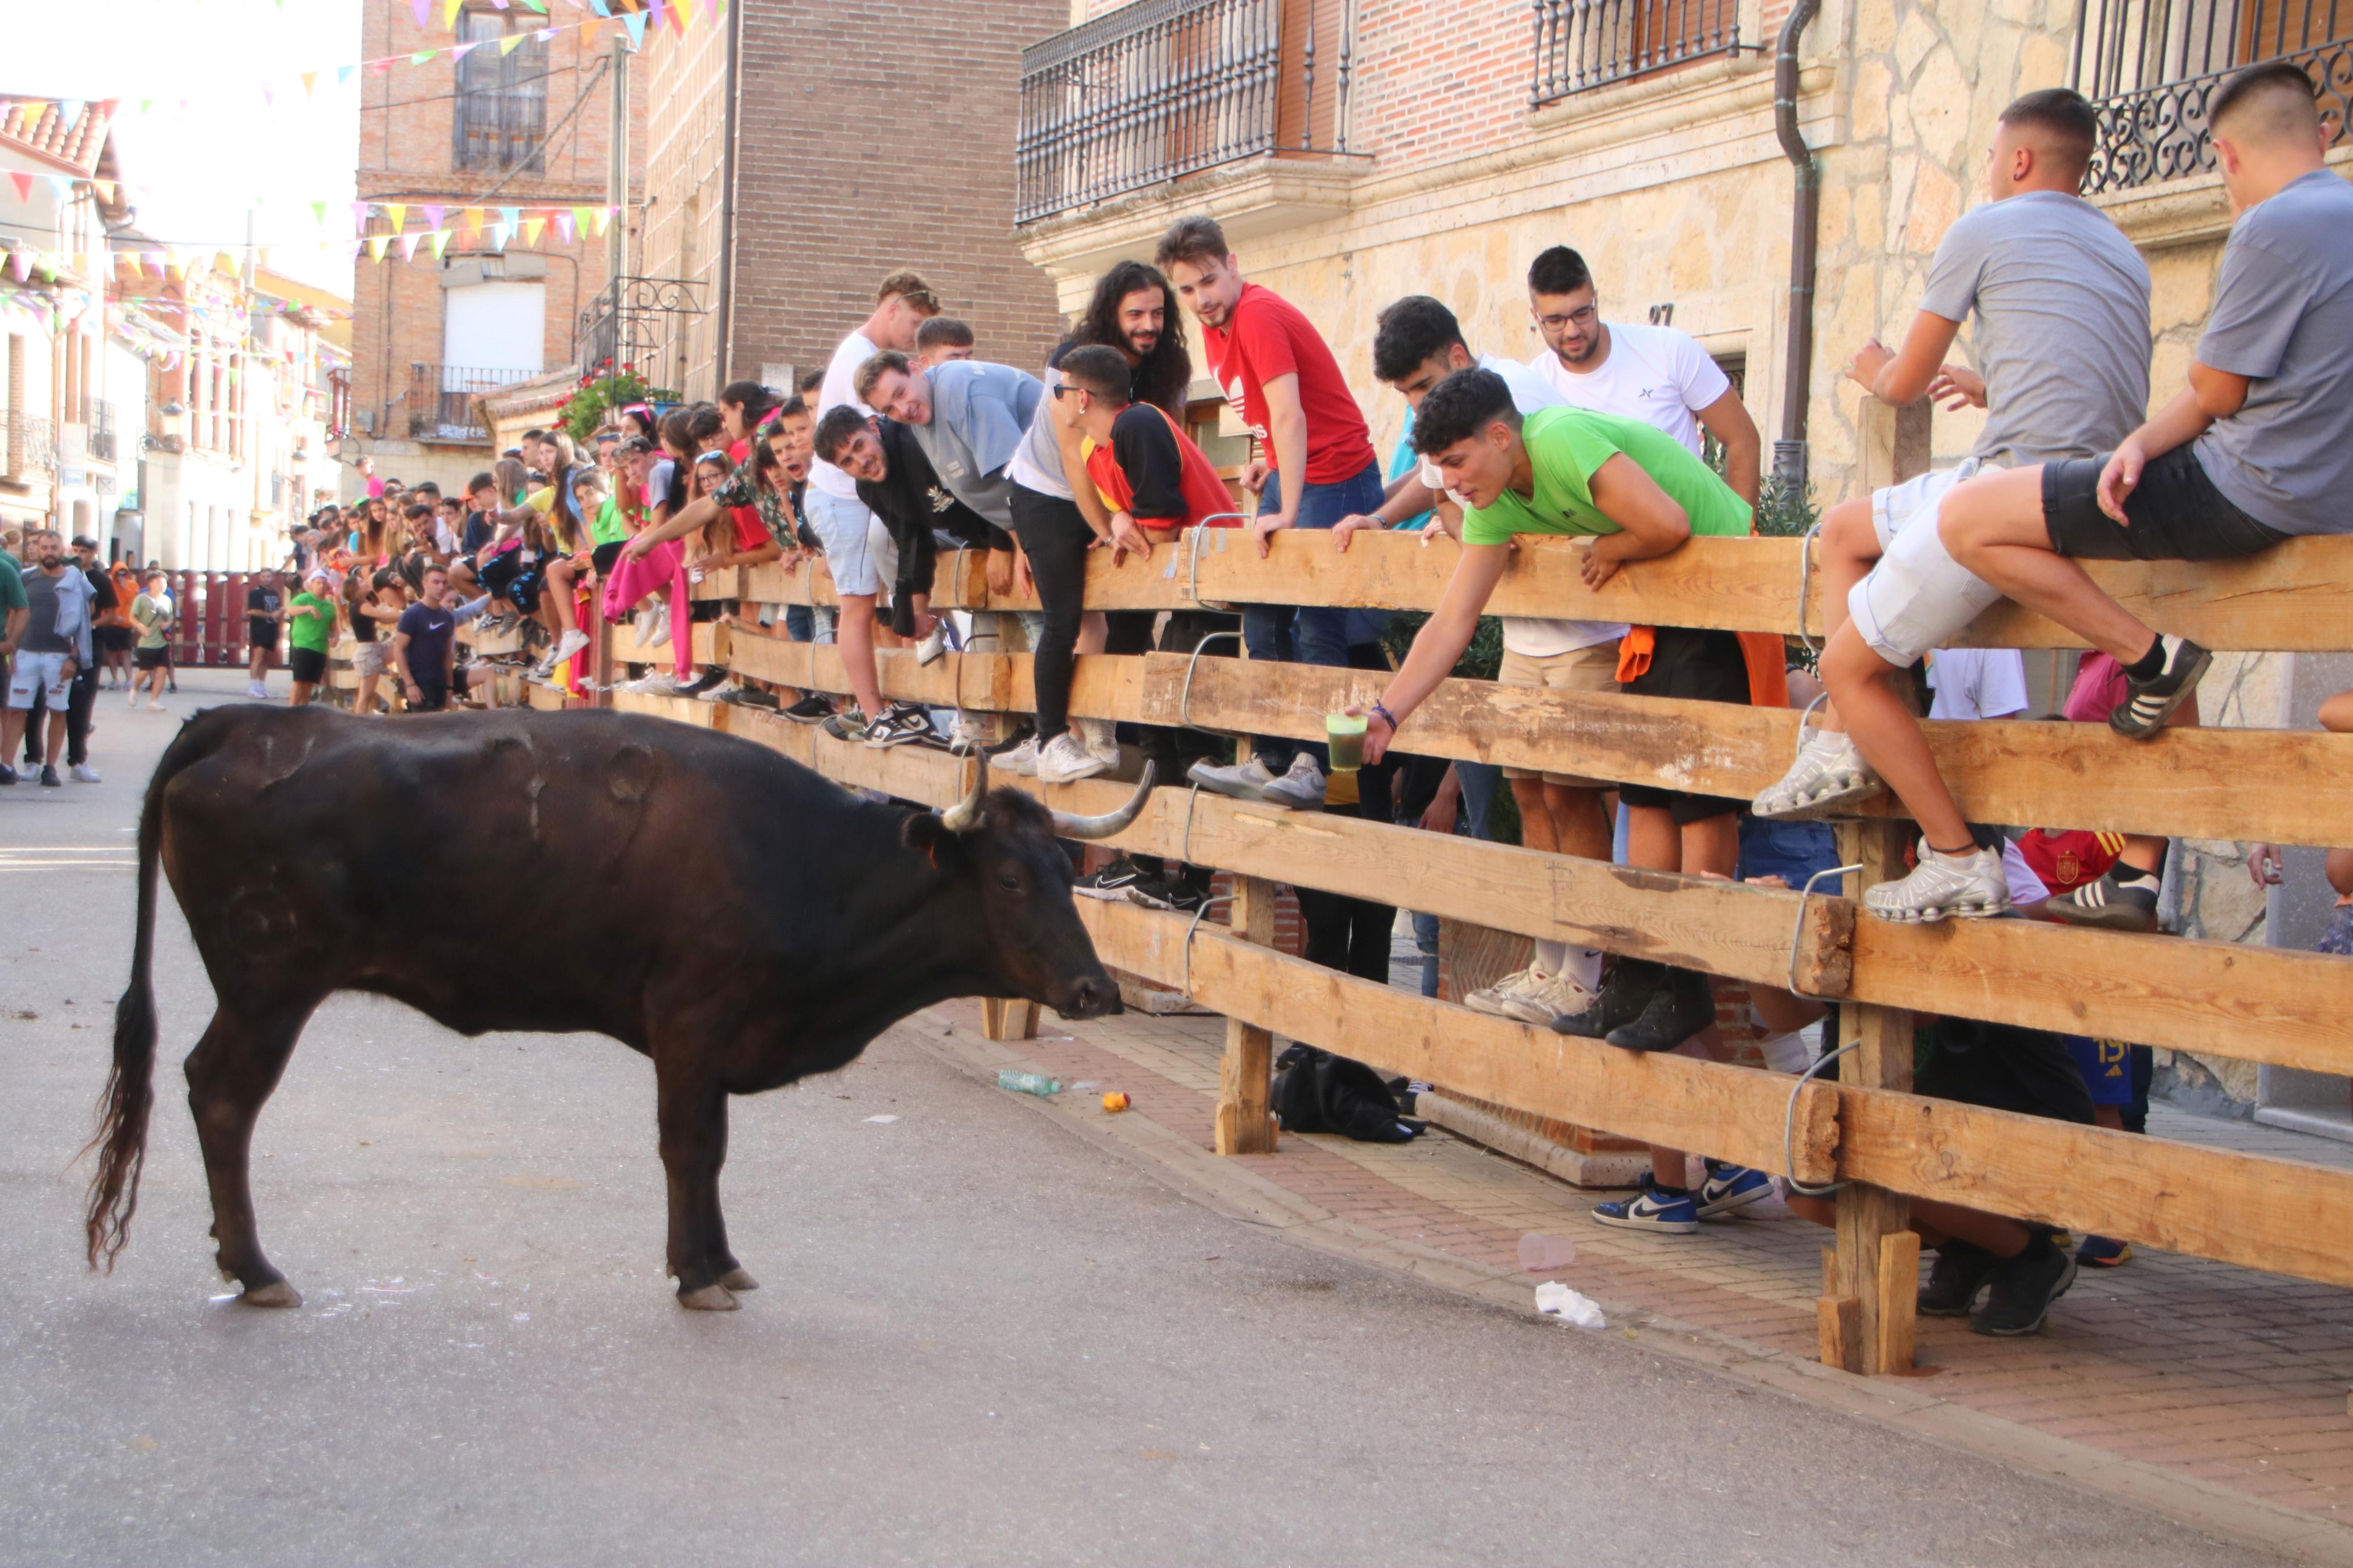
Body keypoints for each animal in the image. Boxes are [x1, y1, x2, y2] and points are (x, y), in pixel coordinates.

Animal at [87, 705, 1153, 1307]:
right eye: (1009, 877)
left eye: (1068, 870)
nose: (1095, 989)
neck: (810, 867)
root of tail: (250, 720)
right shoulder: (689, 1019)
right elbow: (691, 1147)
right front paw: (696, 1274)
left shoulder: (715, 1038)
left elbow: (710, 1151)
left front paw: (719, 1260)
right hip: (269, 985)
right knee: (221, 1096)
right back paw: (255, 1268)